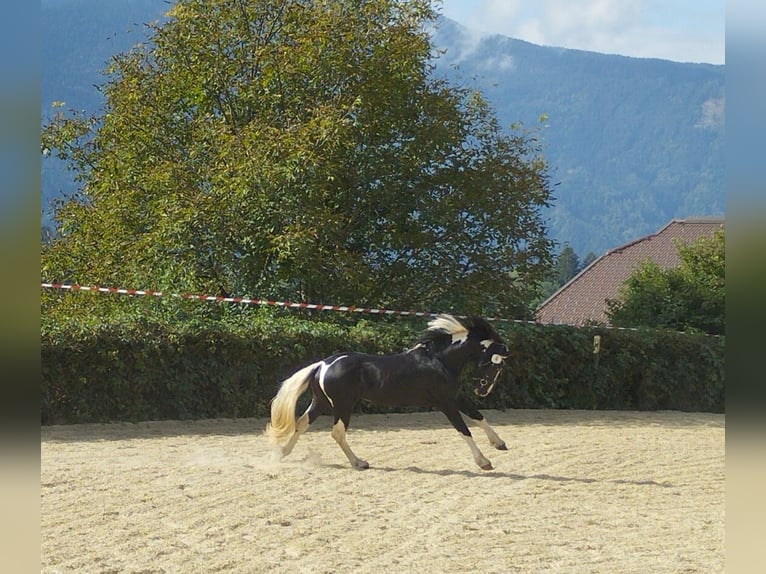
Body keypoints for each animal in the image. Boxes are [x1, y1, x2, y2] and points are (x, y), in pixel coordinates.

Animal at [268, 316, 512, 472]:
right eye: (496, 365)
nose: (483, 390)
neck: (440, 360)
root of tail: (323, 364)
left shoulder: (456, 396)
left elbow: (478, 416)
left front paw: (499, 443)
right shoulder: (445, 402)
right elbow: (464, 429)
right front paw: (483, 461)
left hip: (321, 403)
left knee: (301, 424)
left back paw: (282, 453)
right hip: (343, 405)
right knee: (337, 433)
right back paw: (359, 463)